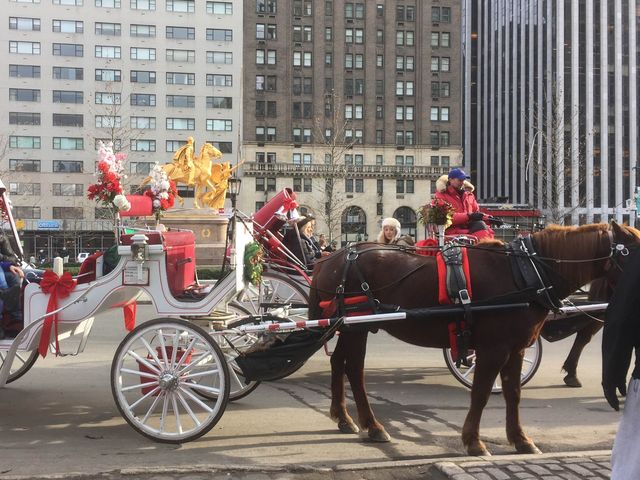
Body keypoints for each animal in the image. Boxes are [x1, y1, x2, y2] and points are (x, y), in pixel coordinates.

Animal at [308, 221, 636, 454]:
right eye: (635, 250)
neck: (525, 271)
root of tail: (332, 257)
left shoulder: (516, 348)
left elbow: (513, 393)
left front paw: (520, 438)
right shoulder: (493, 348)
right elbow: (480, 393)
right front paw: (473, 441)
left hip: (350, 327)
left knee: (340, 363)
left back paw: (344, 417)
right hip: (358, 326)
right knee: (354, 370)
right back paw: (372, 425)